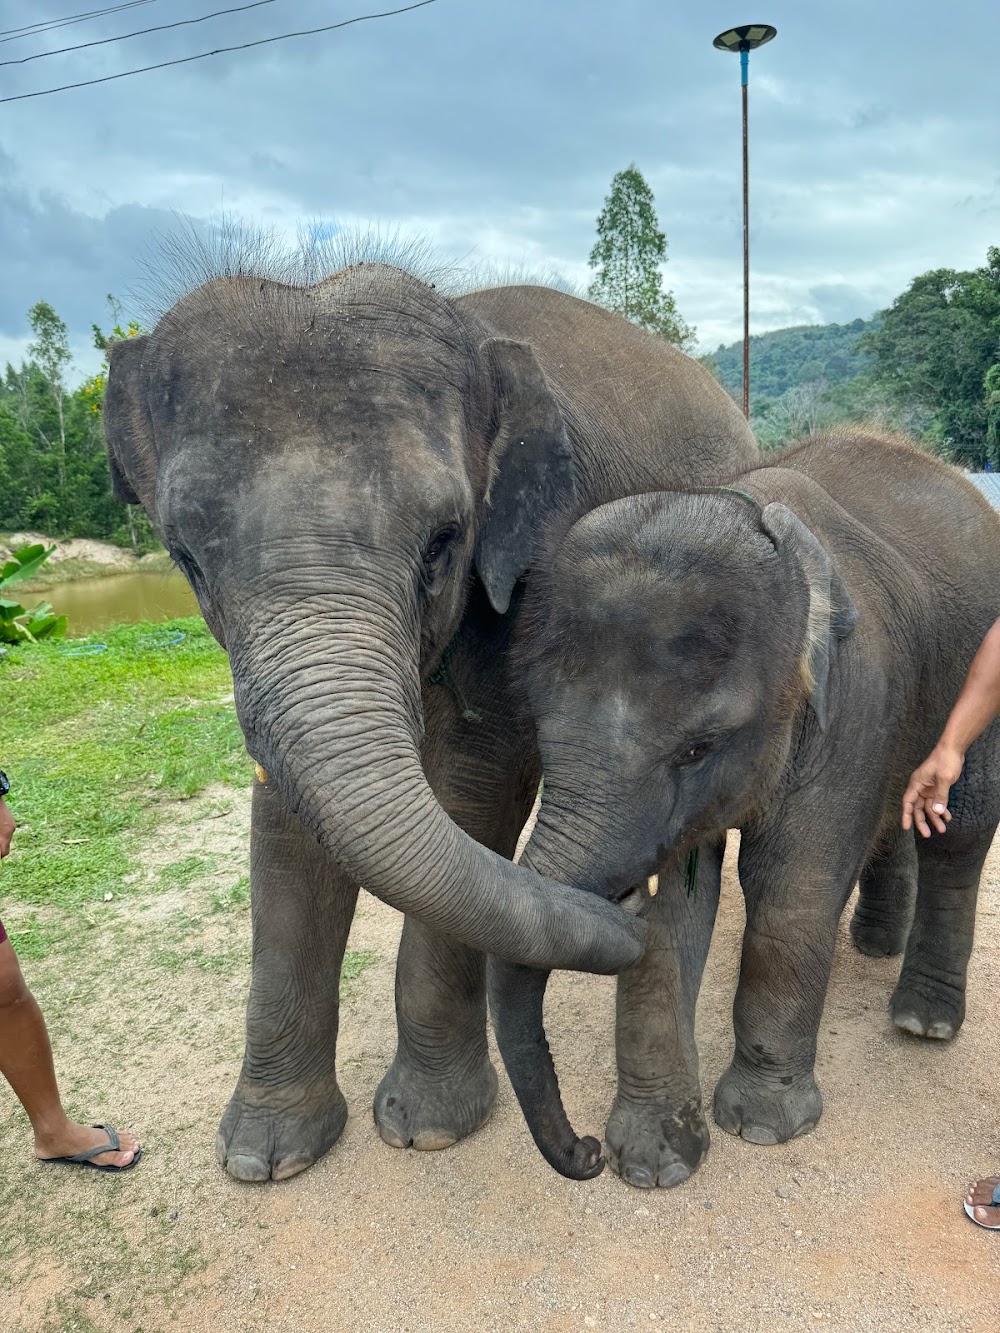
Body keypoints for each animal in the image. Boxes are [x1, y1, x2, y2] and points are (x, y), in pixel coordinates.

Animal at [104, 259, 757, 1178]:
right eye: (185, 556)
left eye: (444, 541)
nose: (627, 906)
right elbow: (285, 815)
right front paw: (265, 1156)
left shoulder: (530, 571)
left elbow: (478, 783)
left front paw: (430, 1128)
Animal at [490, 434, 1000, 1189]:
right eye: (538, 728)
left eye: (697, 748)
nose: (583, 1151)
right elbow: (678, 909)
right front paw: (653, 1161)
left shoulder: (855, 699)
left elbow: (789, 884)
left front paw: (762, 1127)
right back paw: (876, 946)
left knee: (960, 828)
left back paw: (922, 1023)